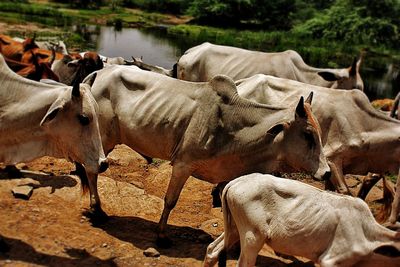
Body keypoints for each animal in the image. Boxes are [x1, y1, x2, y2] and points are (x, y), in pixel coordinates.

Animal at [83, 64, 332, 247]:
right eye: (307, 135)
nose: (326, 172)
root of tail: (97, 74)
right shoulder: (183, 164)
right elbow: (170, 200)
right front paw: (161, 235)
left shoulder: (225, 175)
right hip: (101, 139)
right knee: (91, 170)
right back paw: (98, 209)